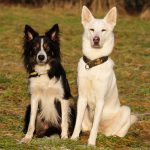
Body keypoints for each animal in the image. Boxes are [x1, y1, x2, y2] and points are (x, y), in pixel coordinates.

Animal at [71, 5, 137, 145]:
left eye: (103, 30)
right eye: (92, 29)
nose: (96, 39)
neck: (93, 63)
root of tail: (104, 132)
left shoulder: (100, 100)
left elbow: (95, 125)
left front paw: (91, 143)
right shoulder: (82, 97)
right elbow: (78, 121)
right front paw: (73, 138)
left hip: (126, 110)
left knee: (116, 131)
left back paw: (113, 136)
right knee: (86, 126)